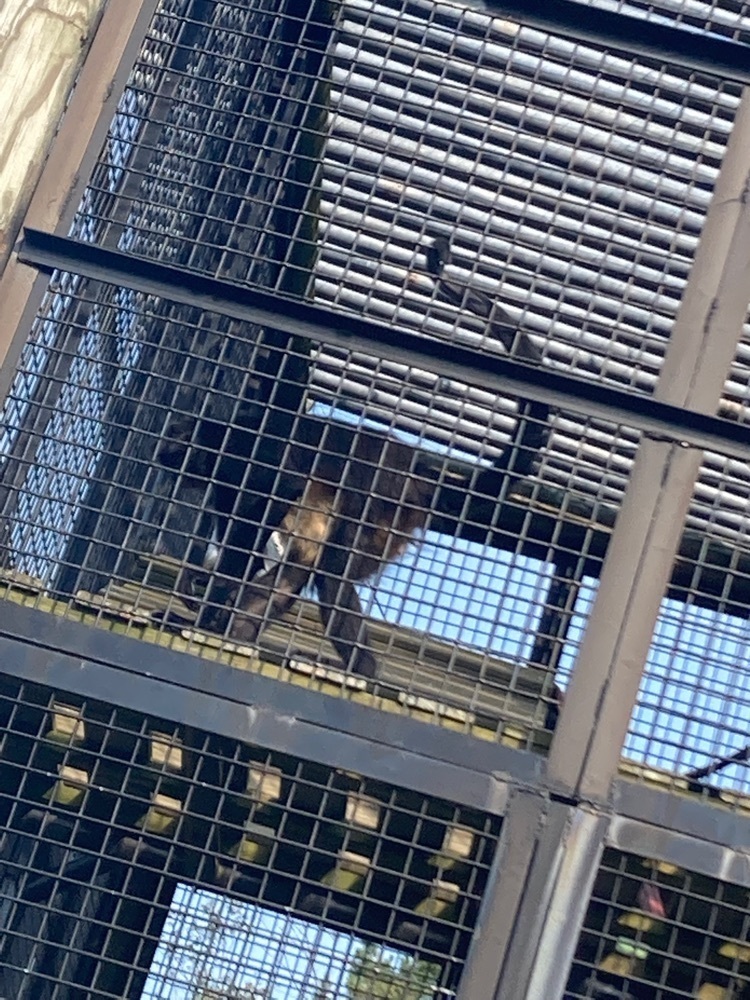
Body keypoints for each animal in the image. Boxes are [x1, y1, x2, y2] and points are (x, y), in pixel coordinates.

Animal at [159, 240, 548, 680]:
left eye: (177, 447)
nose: (169, 456)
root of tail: (415, 472)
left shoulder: (239, 448)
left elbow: (283, 486)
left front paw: (218, 586)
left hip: (382, 505)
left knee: (331, 571)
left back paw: (361, 670)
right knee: (297, 573)